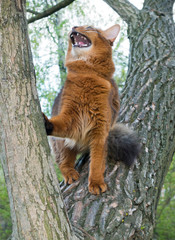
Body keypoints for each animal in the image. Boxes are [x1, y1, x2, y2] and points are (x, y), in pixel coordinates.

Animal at [43, 25, 140, 195]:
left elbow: (97, 162)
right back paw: (69, 172)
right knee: (63, 160)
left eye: (89, 28)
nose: (74, 27)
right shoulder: (70, 118)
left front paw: (95, 182)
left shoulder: (100, 130)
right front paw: (47, 123)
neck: (88, 74)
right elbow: (60, 125)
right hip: (61, 144)